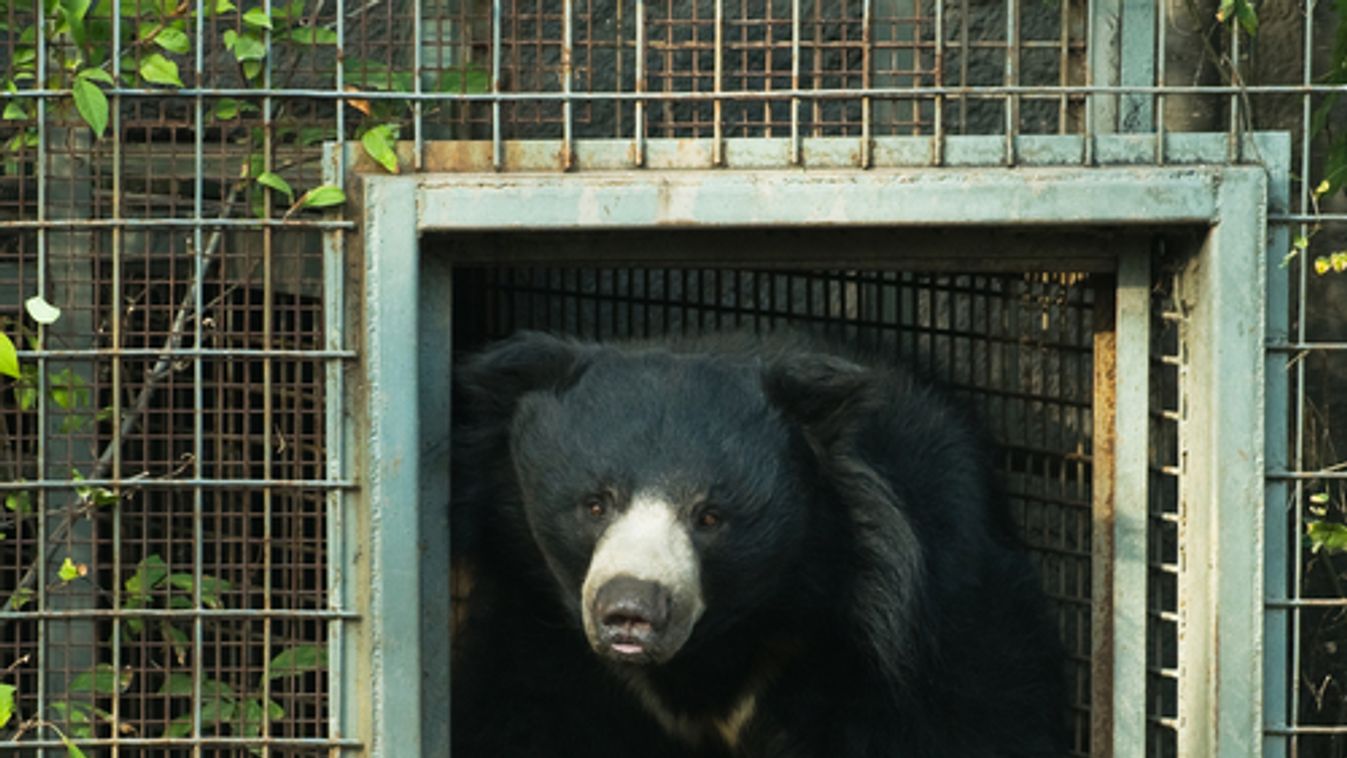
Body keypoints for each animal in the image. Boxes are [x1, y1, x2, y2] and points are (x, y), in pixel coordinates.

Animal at [452, 332, 1072, 758]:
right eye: (596, 504)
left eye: (709, 516)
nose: (631, 610)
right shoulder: (545, 640)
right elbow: (526, 718)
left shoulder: (911, 633)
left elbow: (970, 719)